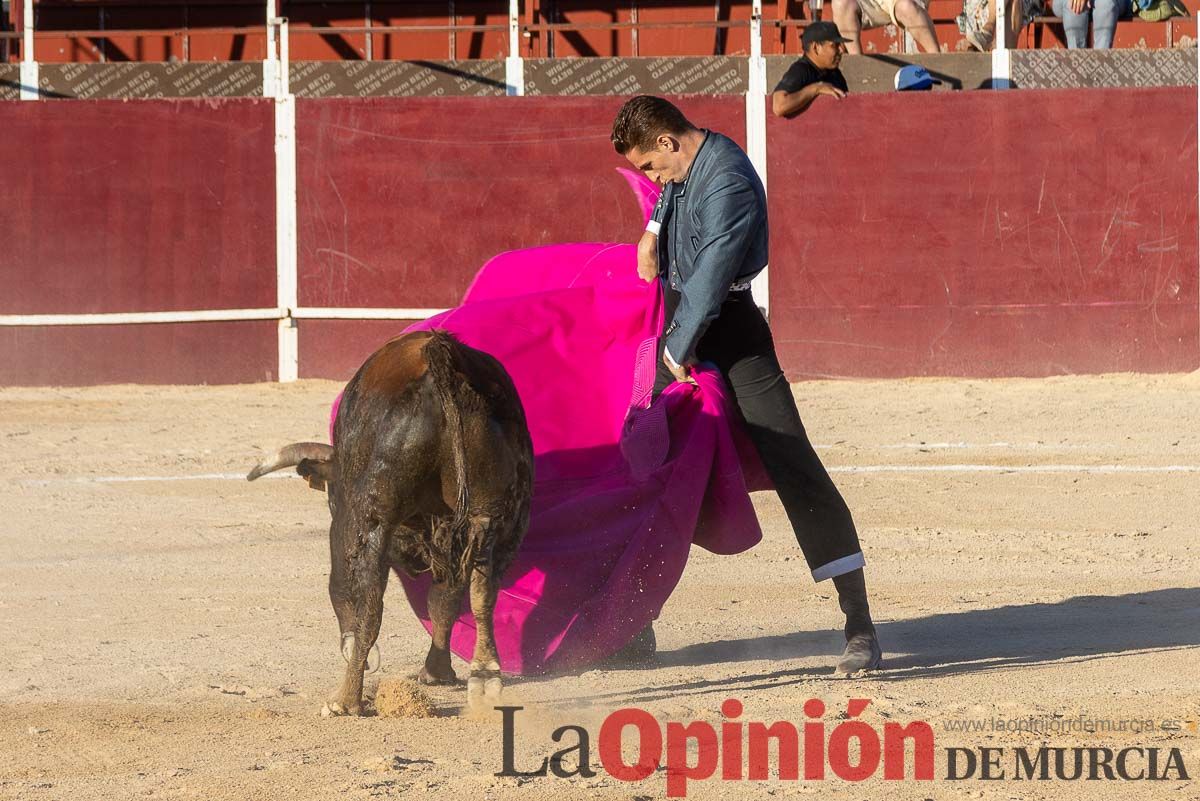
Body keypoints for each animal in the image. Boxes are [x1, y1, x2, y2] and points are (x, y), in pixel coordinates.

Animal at [248, 328, 535, 714]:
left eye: (331, 494)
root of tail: (440, 354)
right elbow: (443, 600)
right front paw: (437, 672)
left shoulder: (346, 524)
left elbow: (344, 591)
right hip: (496, 517)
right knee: (482, 591)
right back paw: (485, 675)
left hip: (373, 515)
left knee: (370, 601)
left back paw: (346, 700)